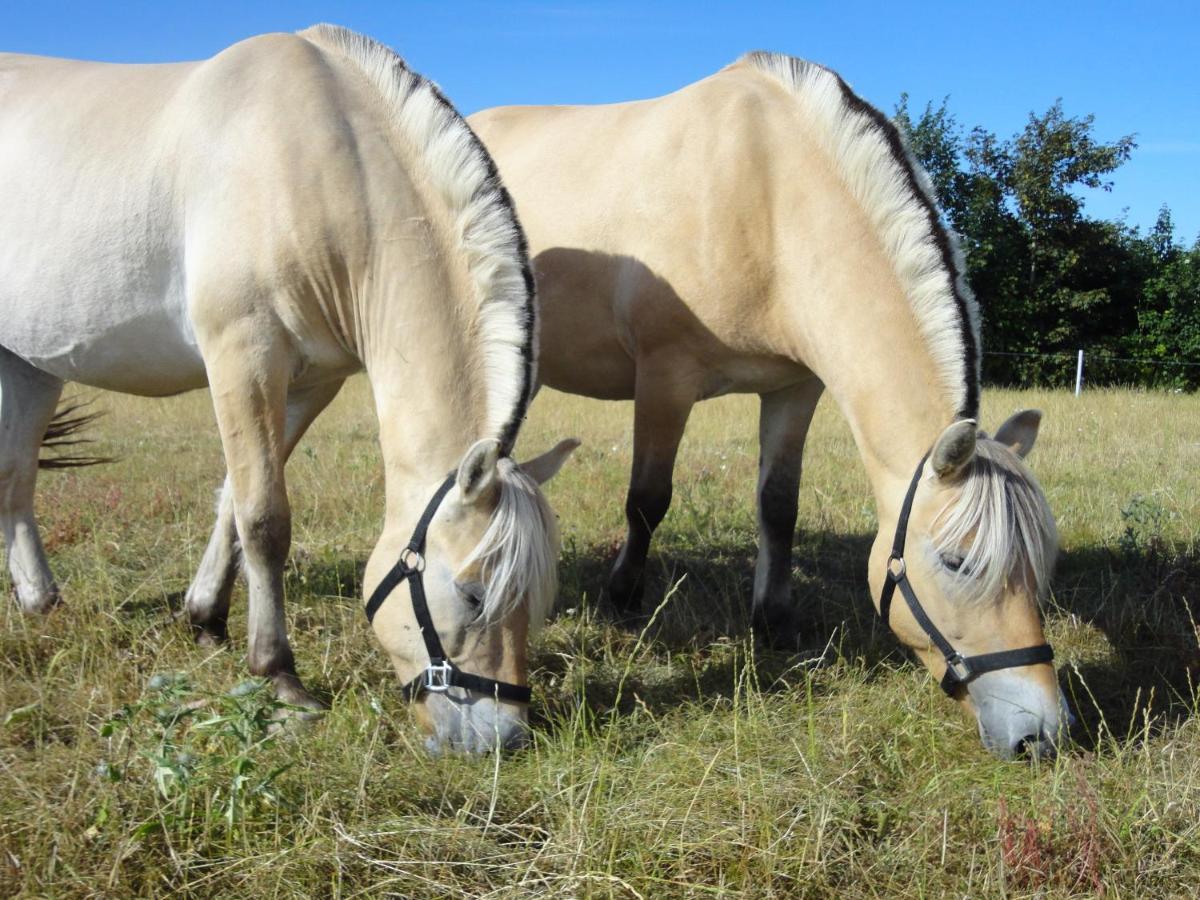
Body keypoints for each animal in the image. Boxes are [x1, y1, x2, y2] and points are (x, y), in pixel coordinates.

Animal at [0, 22, 576, 753]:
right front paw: (279, 675)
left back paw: (39, 600)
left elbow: (232, 500)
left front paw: (205, 617)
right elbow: (265, 519)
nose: (500, 740)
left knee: (15, 477)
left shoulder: (310, 383)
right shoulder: (241, 358)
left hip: (29, 363)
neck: (313, 160)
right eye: (473, 596)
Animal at [465, 54, 1070, 763]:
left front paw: (773, 620)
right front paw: (622, 598)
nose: (1041, 733)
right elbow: (648, 500)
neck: (769, 199)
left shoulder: (794, 389)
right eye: (957, 562)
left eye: (1041, 564)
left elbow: (779, 506)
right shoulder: (665, 378)